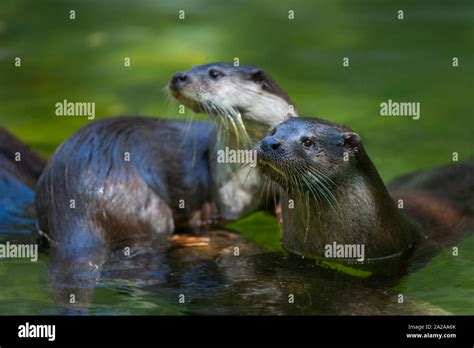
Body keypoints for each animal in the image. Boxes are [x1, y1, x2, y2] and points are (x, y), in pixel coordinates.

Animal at [36, 63, 296, 247]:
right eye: (192, 67)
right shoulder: (226, 199)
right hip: (143, 203)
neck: (249, 174)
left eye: (214, 73)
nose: (179, 76)